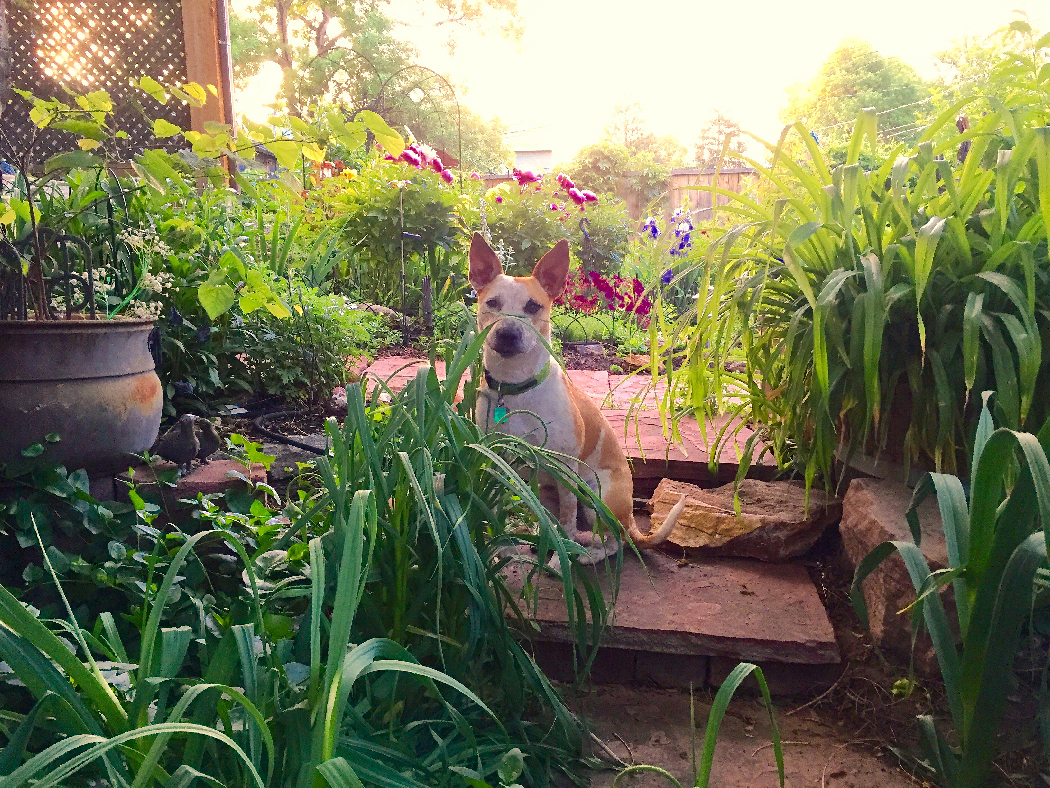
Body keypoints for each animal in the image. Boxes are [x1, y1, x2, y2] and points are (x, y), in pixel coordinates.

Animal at [468, 232, 685, 565]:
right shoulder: (497, 461)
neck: (517, 387)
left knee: (614, 540)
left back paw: (585, 553)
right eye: (492, 303)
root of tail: (630, 518)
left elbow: (568, 522)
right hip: (545, 493)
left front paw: (561, 561)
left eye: (533, 306)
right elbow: (496, 509)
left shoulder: (564, 470)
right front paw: (503, 552)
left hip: (597, 497)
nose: (508, 333)